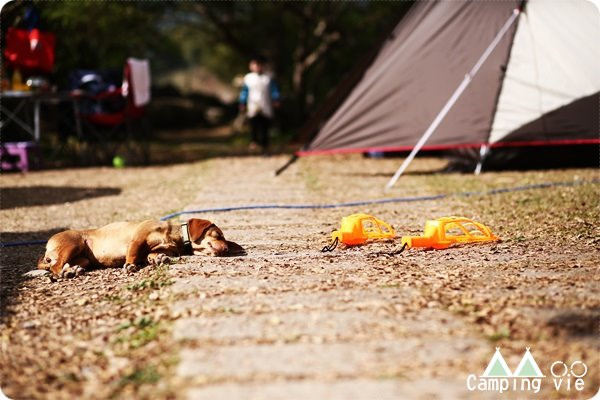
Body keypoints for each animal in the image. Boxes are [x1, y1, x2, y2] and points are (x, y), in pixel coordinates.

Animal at [37, 219, 229, 278]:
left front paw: (159, 258)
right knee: (55, 267)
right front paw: (129, 265)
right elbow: (133, 253)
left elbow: (152, 255)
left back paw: (73, 269)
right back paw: (67, 272)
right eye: (219, 235)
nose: (228, 249)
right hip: (74, 244)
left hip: (83, 258)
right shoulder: (137, 239)